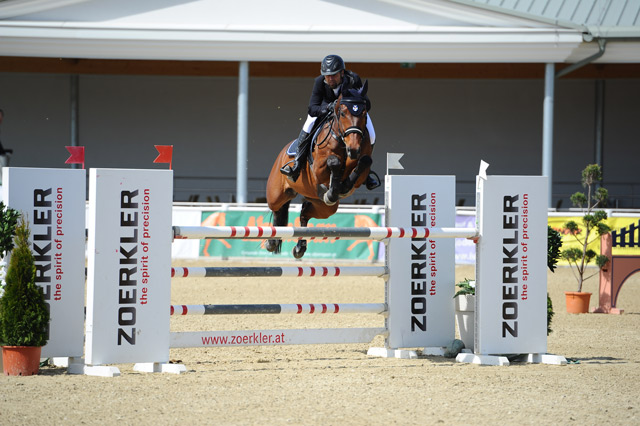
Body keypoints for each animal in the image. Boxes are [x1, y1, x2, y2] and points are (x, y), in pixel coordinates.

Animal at [266, 81, 376, 258]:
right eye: (342, 113)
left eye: (364, 113)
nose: (353, 149)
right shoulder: (319, 169)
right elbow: (334, 162)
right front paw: (334, 189)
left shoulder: (361, 167)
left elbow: (364, 162)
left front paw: (341, 188)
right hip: (276, 194)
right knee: (277, 210)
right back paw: (272, 242)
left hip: (324, 207)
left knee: (304, 212)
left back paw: (299, 248)